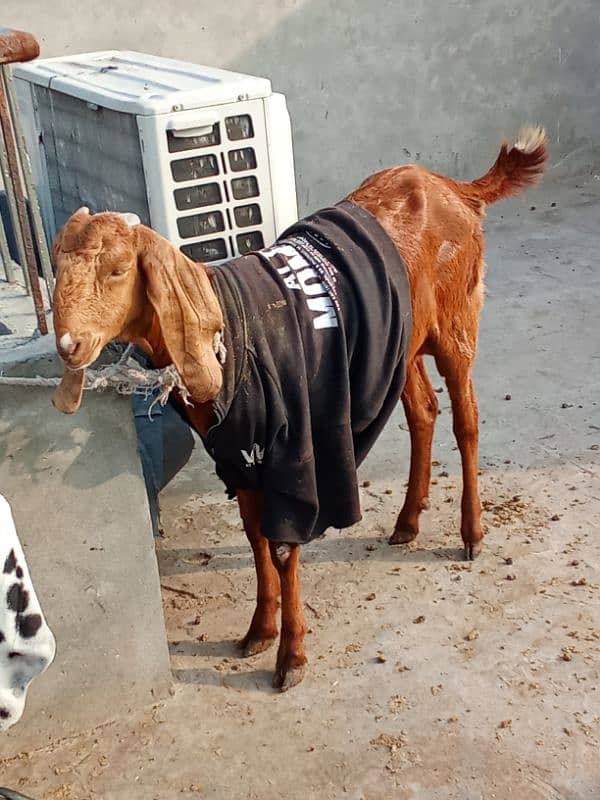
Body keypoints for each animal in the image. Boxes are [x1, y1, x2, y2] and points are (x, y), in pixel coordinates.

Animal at [51, 128, 548, 692]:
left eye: (117, 270)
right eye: (57, 268)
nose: (69, 345)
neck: (229, 330)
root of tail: (455, 189)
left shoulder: (294, 455)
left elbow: (284, 545)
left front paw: (290, 656)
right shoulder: (239, 457)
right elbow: (254, 537)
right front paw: (258, 632)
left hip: (457, 318)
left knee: (467, 420)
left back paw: (472, 533)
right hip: (399, 343)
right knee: (423, 411)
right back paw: (407, 521)